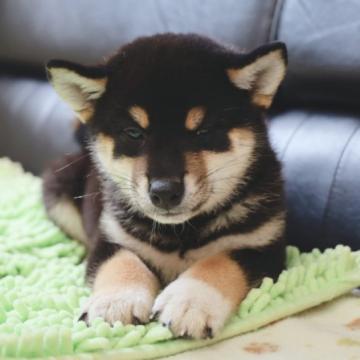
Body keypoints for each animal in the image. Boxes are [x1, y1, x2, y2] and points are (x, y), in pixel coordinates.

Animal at [43, 32, 288, 338]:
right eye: (134, 133)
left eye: (203, 131)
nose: (165, 192)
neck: (181, 233)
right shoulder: (110, 237)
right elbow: (121, 262)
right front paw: (115, 302)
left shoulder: (263, 246)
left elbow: (219, 262)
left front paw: (190, 301)